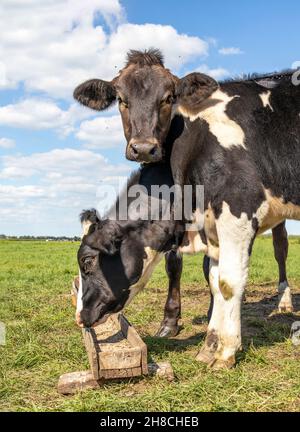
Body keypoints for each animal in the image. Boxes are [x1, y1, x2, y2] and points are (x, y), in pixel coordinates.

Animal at [74, 49, 298, 368]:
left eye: (87, 262)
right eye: (120, 99)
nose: (79, 317)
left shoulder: (238, 209)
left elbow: (229, 282)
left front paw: (226, 352)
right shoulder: (211, 225)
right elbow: (214, 280)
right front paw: (208, 345)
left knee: (280, 248)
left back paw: (284, 300)